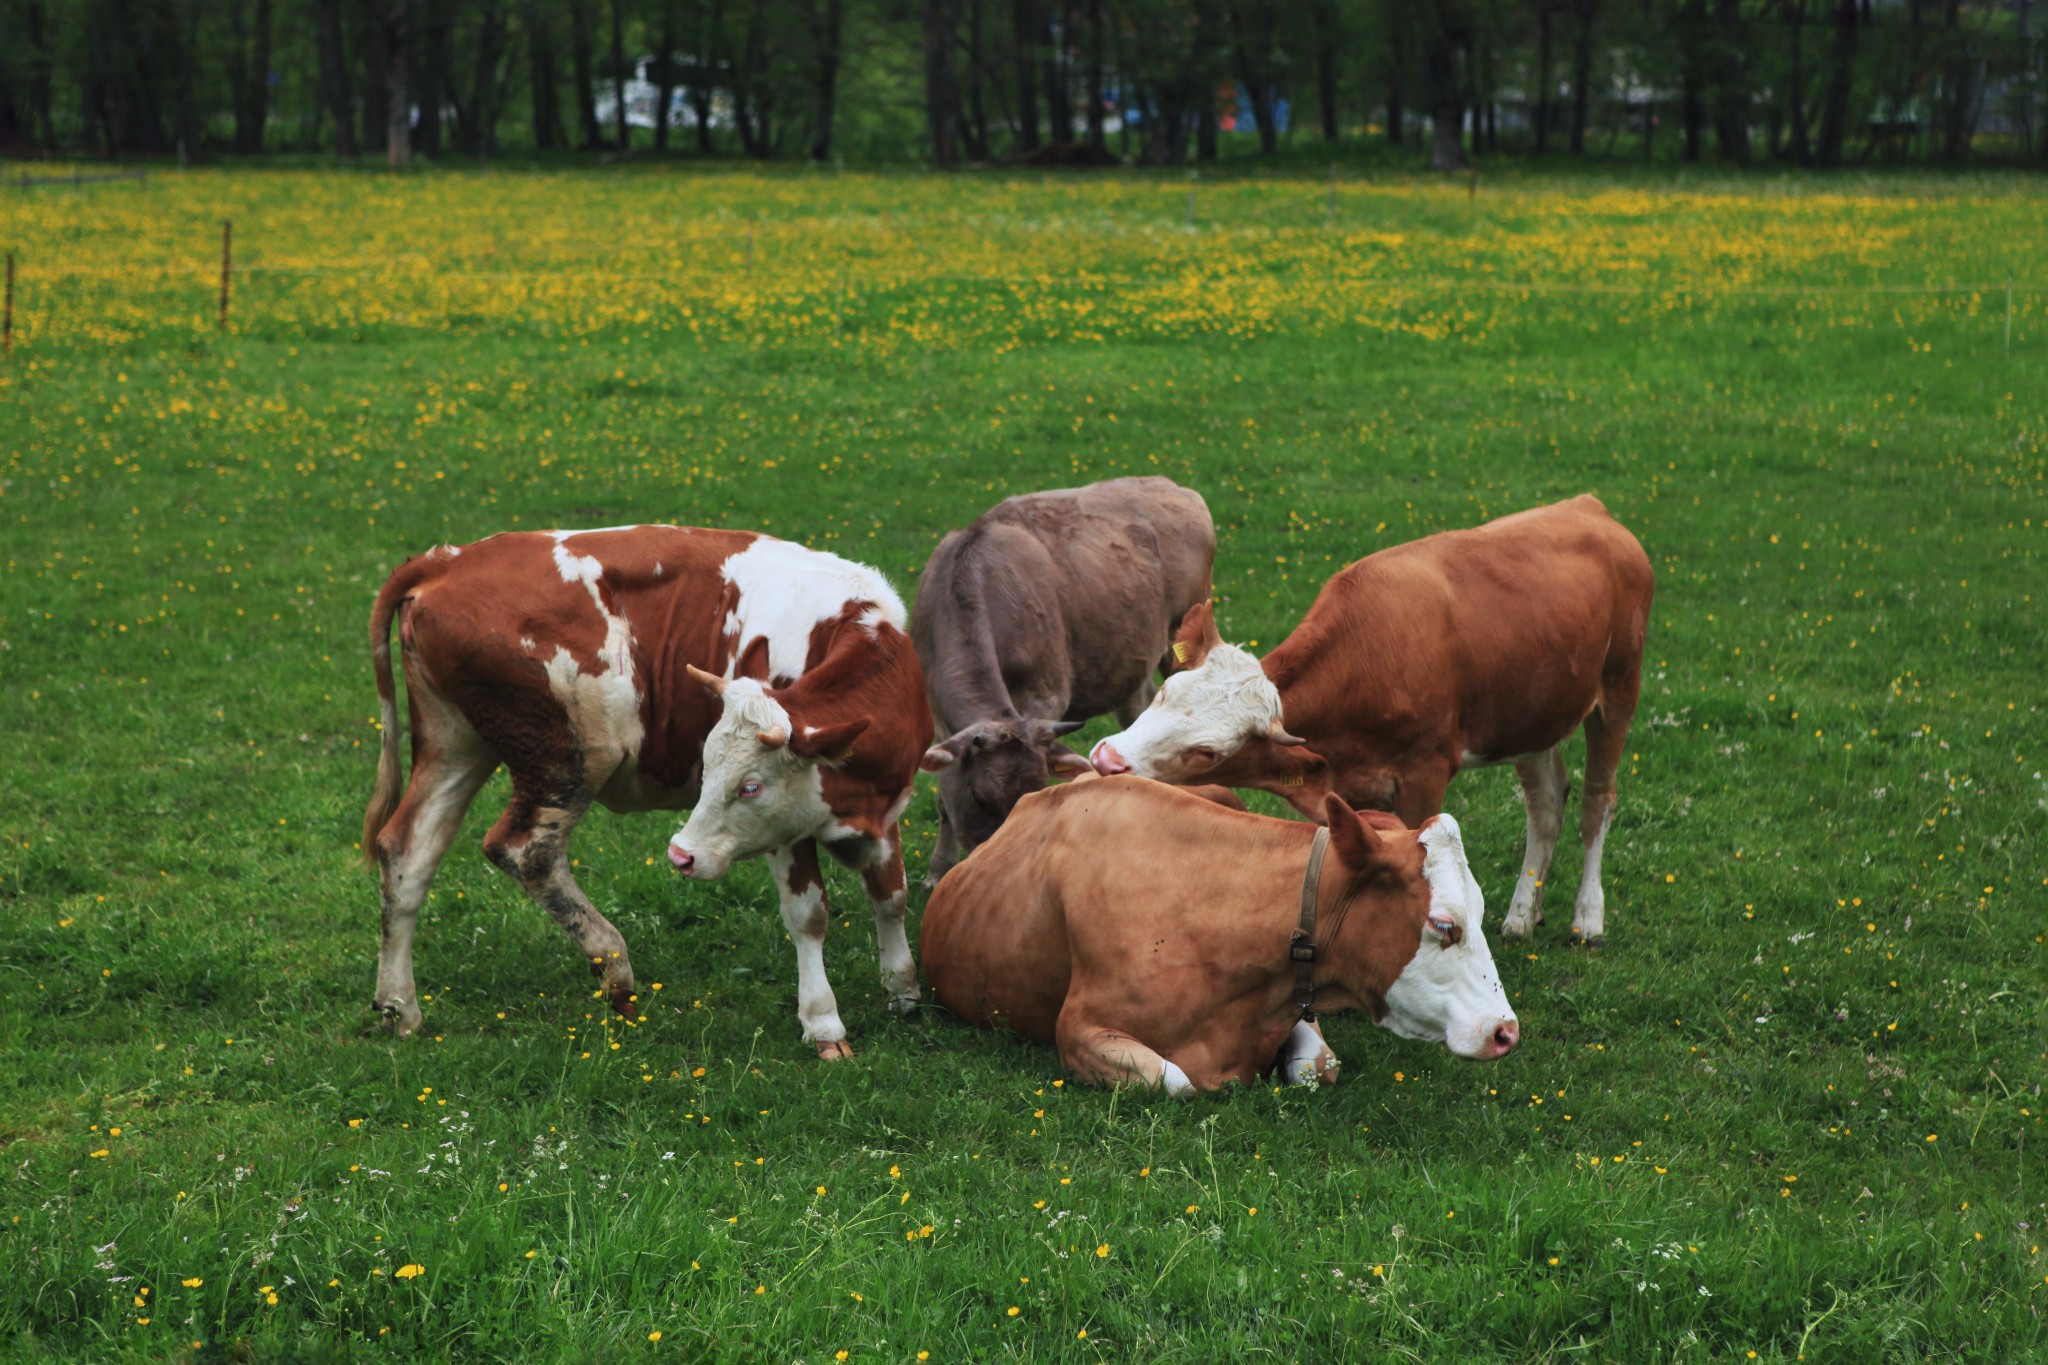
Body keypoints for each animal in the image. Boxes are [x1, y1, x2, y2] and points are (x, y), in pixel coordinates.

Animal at [364, 527, 933, 1055]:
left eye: (750, 786)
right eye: (712, 770)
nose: (681, 854)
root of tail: (448, 560)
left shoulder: (886, 811)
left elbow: (892, 895)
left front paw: (903, 988)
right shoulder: (787, 832)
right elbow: (809, 916)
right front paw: (823, 1023)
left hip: (455, 744)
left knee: (407, 854)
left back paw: (399, 1006)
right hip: (567, 757)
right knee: (526, 851)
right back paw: (613, 962)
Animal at [913, 478, 1212, 888]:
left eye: (1033, 792)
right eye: (979, 797)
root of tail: (1171, 486)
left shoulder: (1045, 696)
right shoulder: (936, 709)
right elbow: (944, 795)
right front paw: (939, 869)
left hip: (1180, 641)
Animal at [1097, 493, 1654, 949]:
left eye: (1207, 752)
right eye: (1164, 692)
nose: (1107, 758)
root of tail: (1589, 508)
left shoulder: (1427, 774)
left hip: (1619, 690)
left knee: (1596, 802)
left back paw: (1588, 918)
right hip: (1533, 719)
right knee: (1545, 805)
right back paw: (1522, 915)